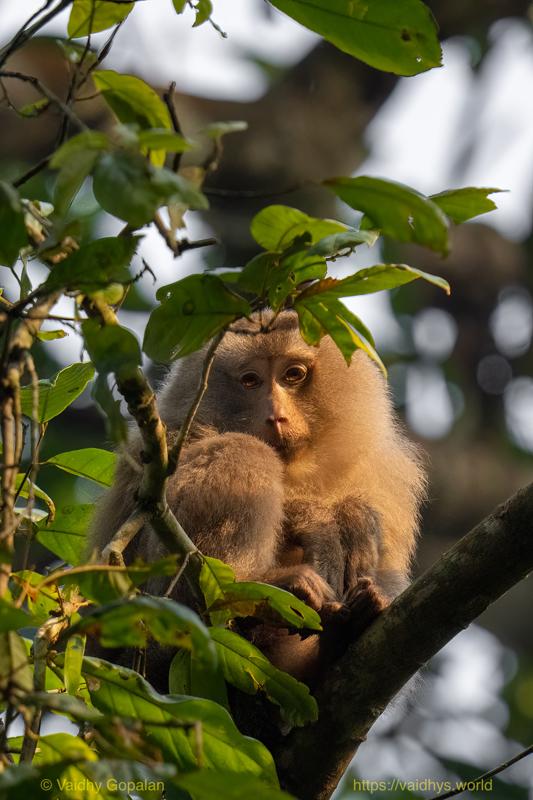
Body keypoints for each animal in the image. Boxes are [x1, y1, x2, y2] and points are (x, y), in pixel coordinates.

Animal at [89, 309, 426, 691]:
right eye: (250, 381)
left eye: (293, 375)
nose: (276, 416)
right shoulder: (167, 441)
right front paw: (315, 518)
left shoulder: (388, 479)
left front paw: (353, 516)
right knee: (243, 450)